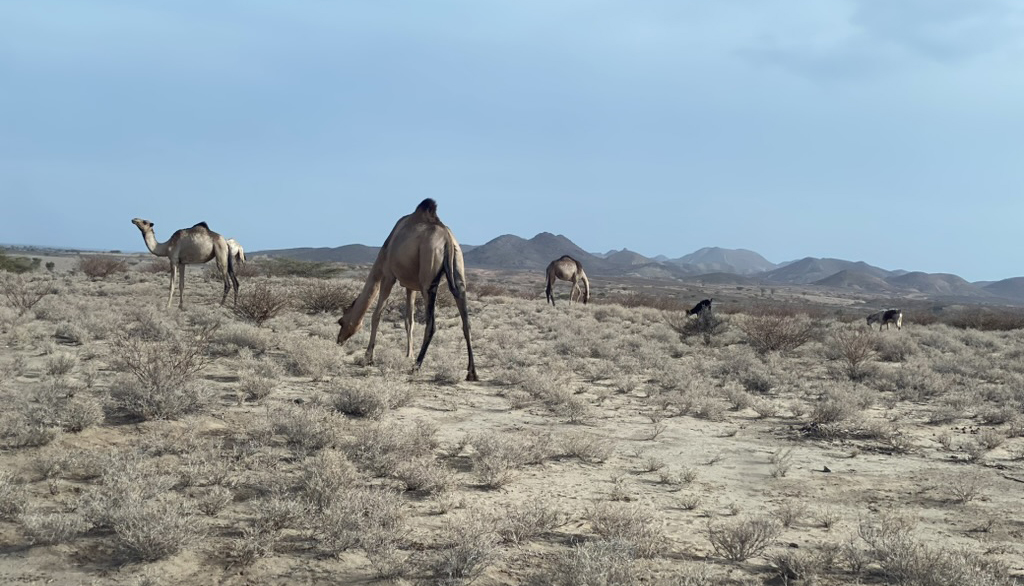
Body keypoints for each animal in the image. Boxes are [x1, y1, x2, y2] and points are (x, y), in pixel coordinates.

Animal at [336, 199, 478, 381]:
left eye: (341, 321)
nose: (338, 340)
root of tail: (447, 239)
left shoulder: (388, 275)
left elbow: (377, 314)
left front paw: (368, 357)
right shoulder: (411, 286)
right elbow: (409, 320)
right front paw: (408, 355)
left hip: (428, 277)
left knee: (431, 324)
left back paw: (416, 367)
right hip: (458, 270)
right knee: (466, 321)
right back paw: (471, 372)